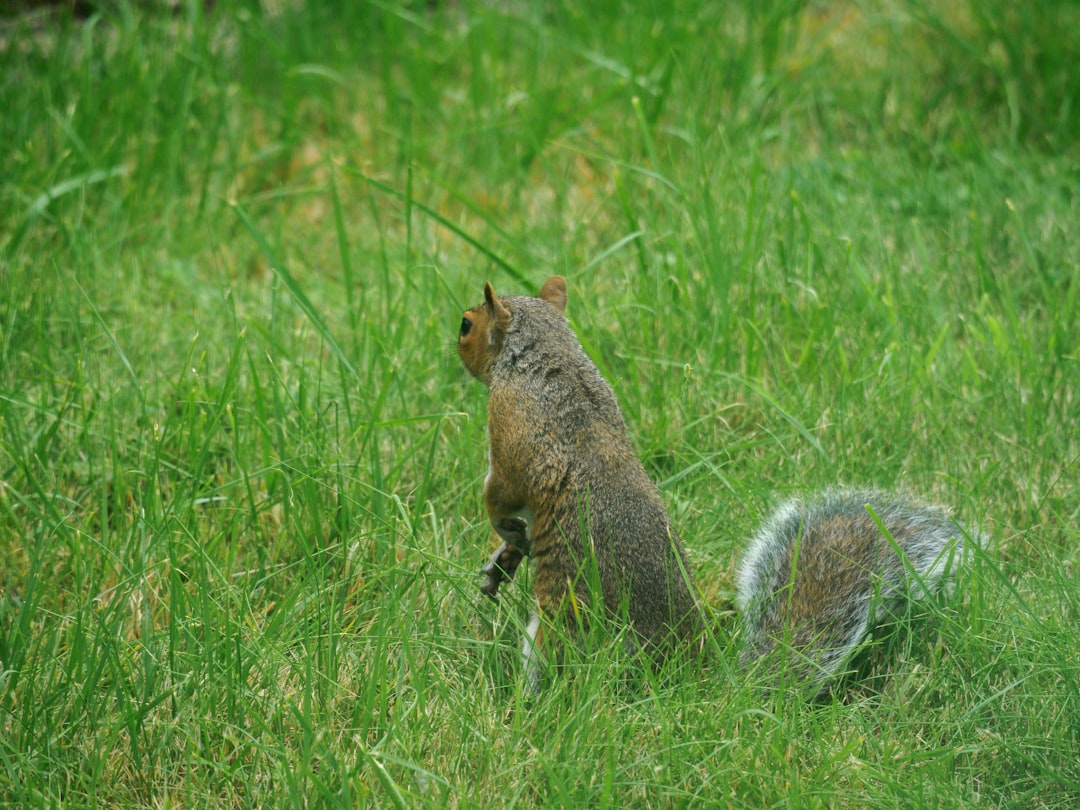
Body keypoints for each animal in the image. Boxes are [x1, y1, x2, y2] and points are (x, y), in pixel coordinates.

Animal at [457, 278, 980, 699]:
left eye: (466, 324)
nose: (451, 339)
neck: (550, 358)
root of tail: (685, 678)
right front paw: (503, 560)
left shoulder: (514, 431)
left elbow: (501, 493)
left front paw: (500, 531)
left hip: (566, 628)